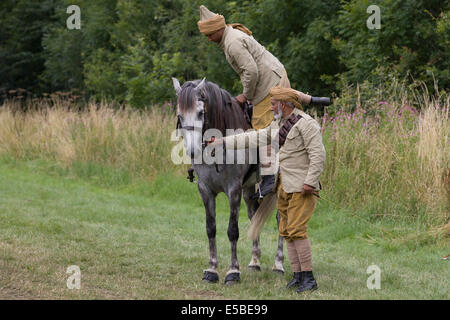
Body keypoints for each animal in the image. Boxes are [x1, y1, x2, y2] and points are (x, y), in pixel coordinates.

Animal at [173, 77, 284, 284]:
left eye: (201, 112)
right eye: (180, 115)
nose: (192, 151)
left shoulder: (234, 190)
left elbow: (233, 230)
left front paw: (233, 271)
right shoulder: (205, 190)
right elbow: (211, 228)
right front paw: (212, 269)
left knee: (282, 221)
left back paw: (278, 264)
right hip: (249, 190)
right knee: (254, 215)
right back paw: (255, 261)